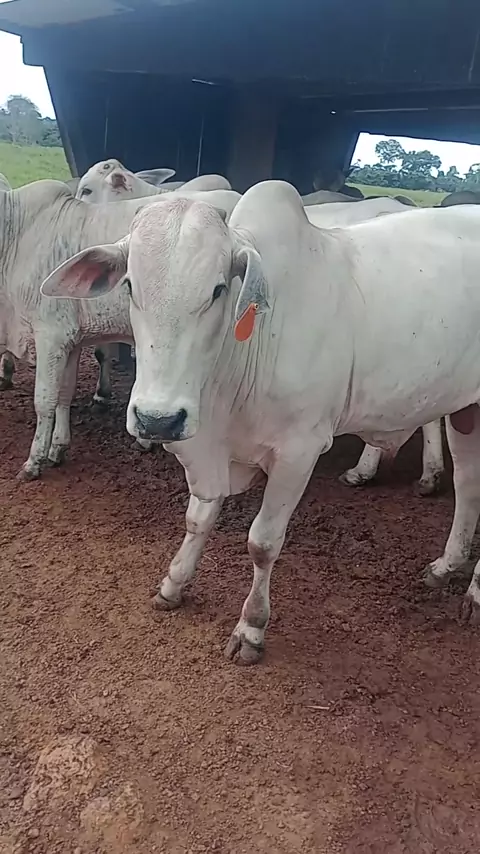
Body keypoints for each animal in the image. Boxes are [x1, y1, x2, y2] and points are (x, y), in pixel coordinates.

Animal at [0, 179, 240, 480]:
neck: (16, 235)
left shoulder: (50, 336)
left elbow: (44, 401)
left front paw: (34, 461)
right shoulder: (70, 341)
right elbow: (63, 396)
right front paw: (58, 448)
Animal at [41, 182, 480, 662]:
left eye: (218, 289)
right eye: (129, 284)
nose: (158, 420)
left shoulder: (299, 451)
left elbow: (263, 542)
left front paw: (251, 627)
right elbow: (198, 517)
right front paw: (174, 583)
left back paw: (474, 593)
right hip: (466, 411)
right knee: (468, 484)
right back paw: (446, 565)